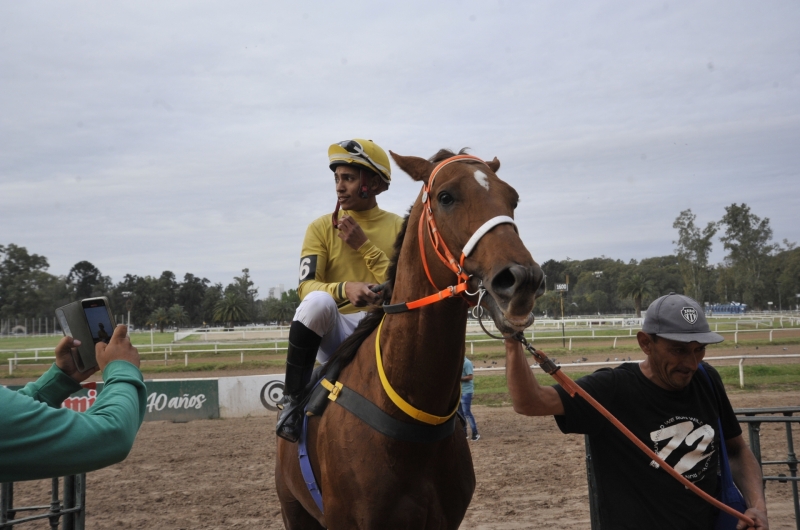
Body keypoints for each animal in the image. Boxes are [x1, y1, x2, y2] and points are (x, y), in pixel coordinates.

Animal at [276, 146, 544, 524]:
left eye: (513, 198)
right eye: (446, 197)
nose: (523, 279)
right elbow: (309, 284)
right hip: (293, 508)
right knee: (315, 303)